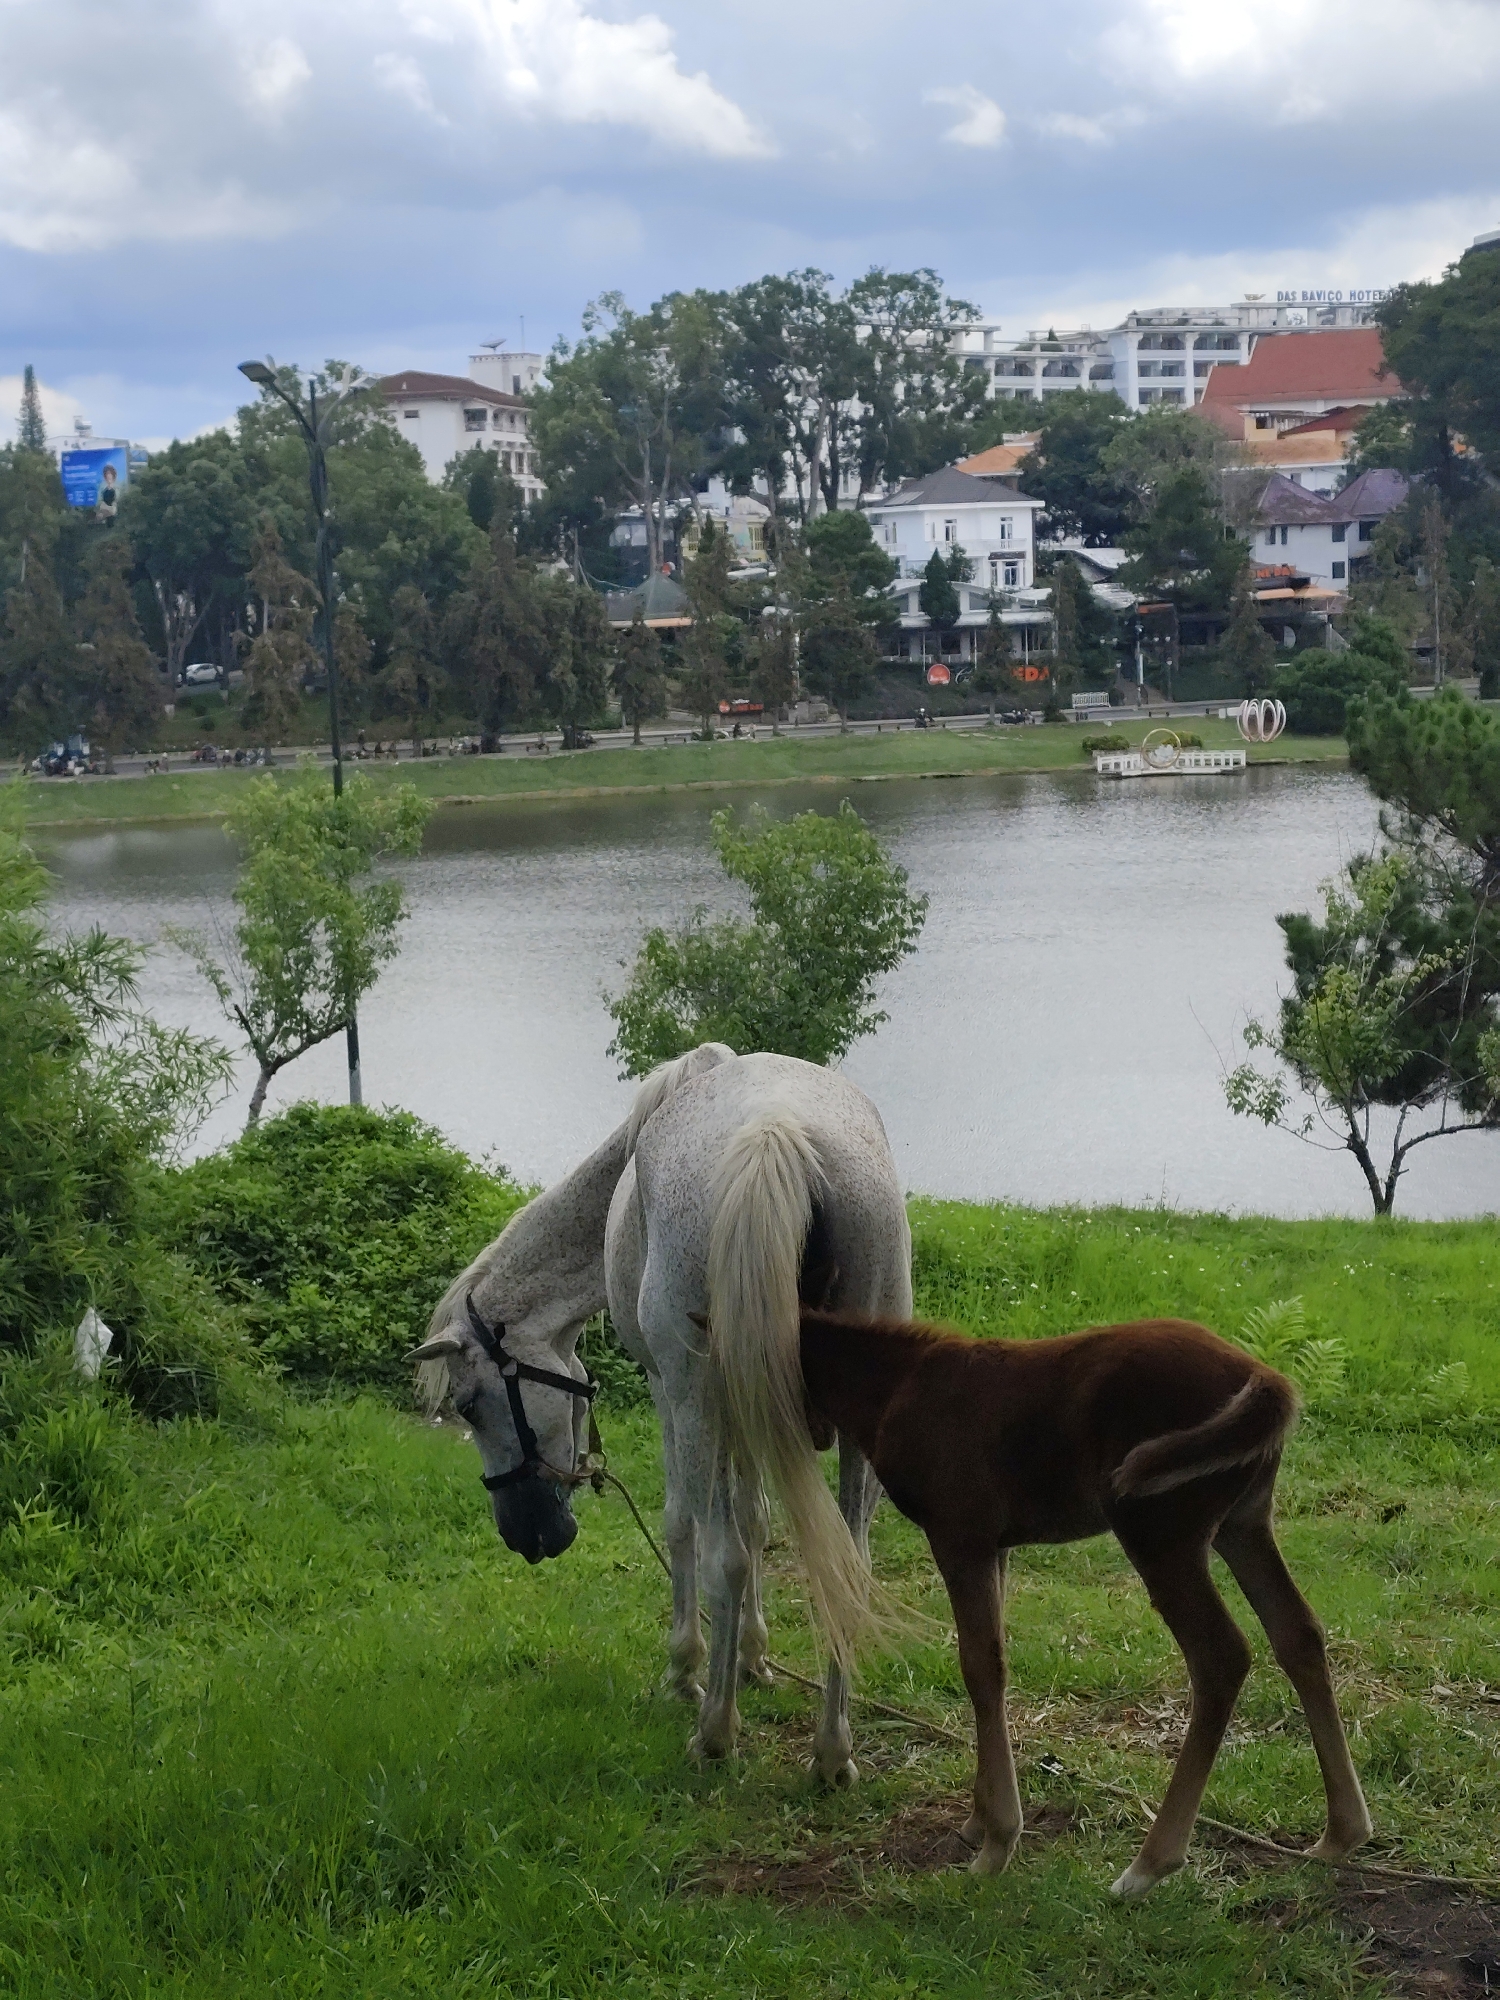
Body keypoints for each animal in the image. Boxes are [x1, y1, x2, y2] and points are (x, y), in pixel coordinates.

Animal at [409, 1044, 912, 1784]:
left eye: (471, 1406)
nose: (525, 1538)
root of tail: (776, 1131)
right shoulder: (748, 1412)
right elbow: (757, 1518)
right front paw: (754, 1656)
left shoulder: (668, 1388)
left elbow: (685, 1525)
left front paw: (688, 1669)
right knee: (846, 1568)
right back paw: (831, 1752)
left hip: (693, 1393)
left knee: (723, 1556)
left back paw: (716, 1732)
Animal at [727, 1305, 1372, 1897]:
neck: (898, 1383)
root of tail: (1262, 1376)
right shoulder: (996, 1547)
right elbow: (988, 1665)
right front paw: (977, 1819)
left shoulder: (959, 1536)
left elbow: (981, 1667)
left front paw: (997, 1843)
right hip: (1244, 1524)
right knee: (1298, 1632)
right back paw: (1341, 1832)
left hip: (1160, 1534)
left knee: (1220, 1656)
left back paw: (1149, 1864)